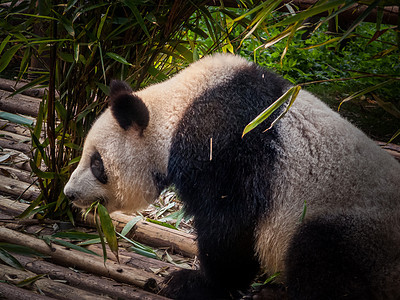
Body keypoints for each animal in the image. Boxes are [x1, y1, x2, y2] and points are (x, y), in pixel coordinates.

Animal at [63, 52, 400, 298]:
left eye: (97, 164)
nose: (69, 193)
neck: (179, 104)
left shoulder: (224, 141)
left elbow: (230, 221)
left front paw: (194, 282)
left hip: (361, 232)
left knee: (320, 259)